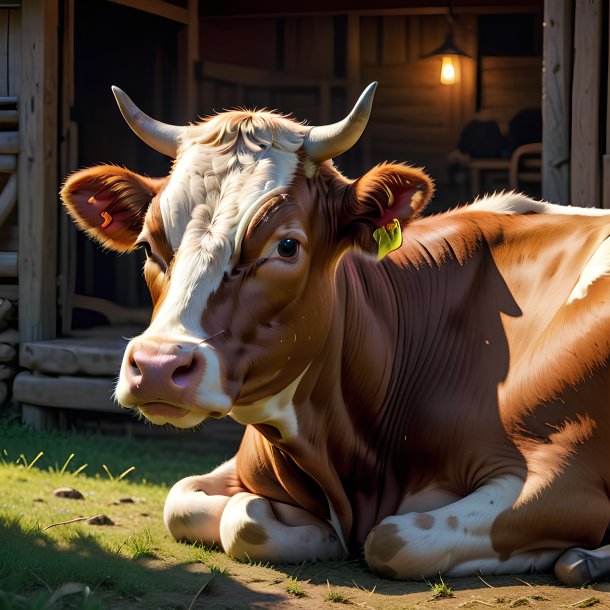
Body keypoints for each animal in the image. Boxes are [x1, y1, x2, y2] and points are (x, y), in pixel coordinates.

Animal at [60, 83, 608, 580]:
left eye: (286, 245)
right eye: (150, 245)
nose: (157, 365)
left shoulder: (562, 478)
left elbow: (392, 539)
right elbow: (205, 509)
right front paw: (318, 533)